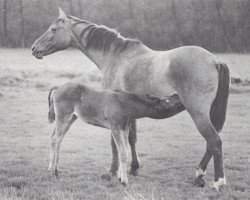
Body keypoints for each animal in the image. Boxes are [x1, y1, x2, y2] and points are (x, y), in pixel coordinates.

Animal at [47, 82, 185, 185]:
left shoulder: (124, 128)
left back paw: (55, 170)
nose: (178, 96)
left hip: (71, 117)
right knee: (54, 139)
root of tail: (57, 89)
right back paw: (52, 173)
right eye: (168, 101)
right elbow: (123, 152)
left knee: (58, 139)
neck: (126, 105)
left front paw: (120, 176)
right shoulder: (115, 127)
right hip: (63, 116)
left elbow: (123, 150)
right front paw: (124, 180)